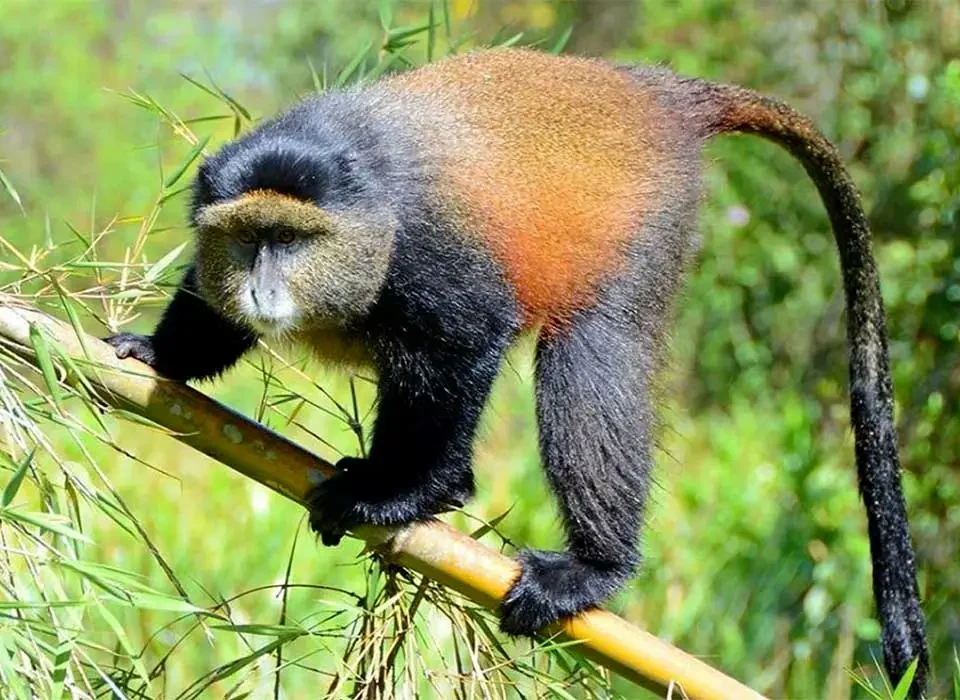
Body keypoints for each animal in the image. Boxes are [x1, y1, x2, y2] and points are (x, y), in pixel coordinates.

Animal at [105, 47, 929, 695]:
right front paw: (158, 355)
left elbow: (466, 342)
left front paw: (409, 495)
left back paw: (592, 566)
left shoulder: (431, 254)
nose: (262, 289)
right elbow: (209, 310)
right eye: (249, 239)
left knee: (589, 354)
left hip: (641, 225)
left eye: (291, 239)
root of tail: (660, 93)